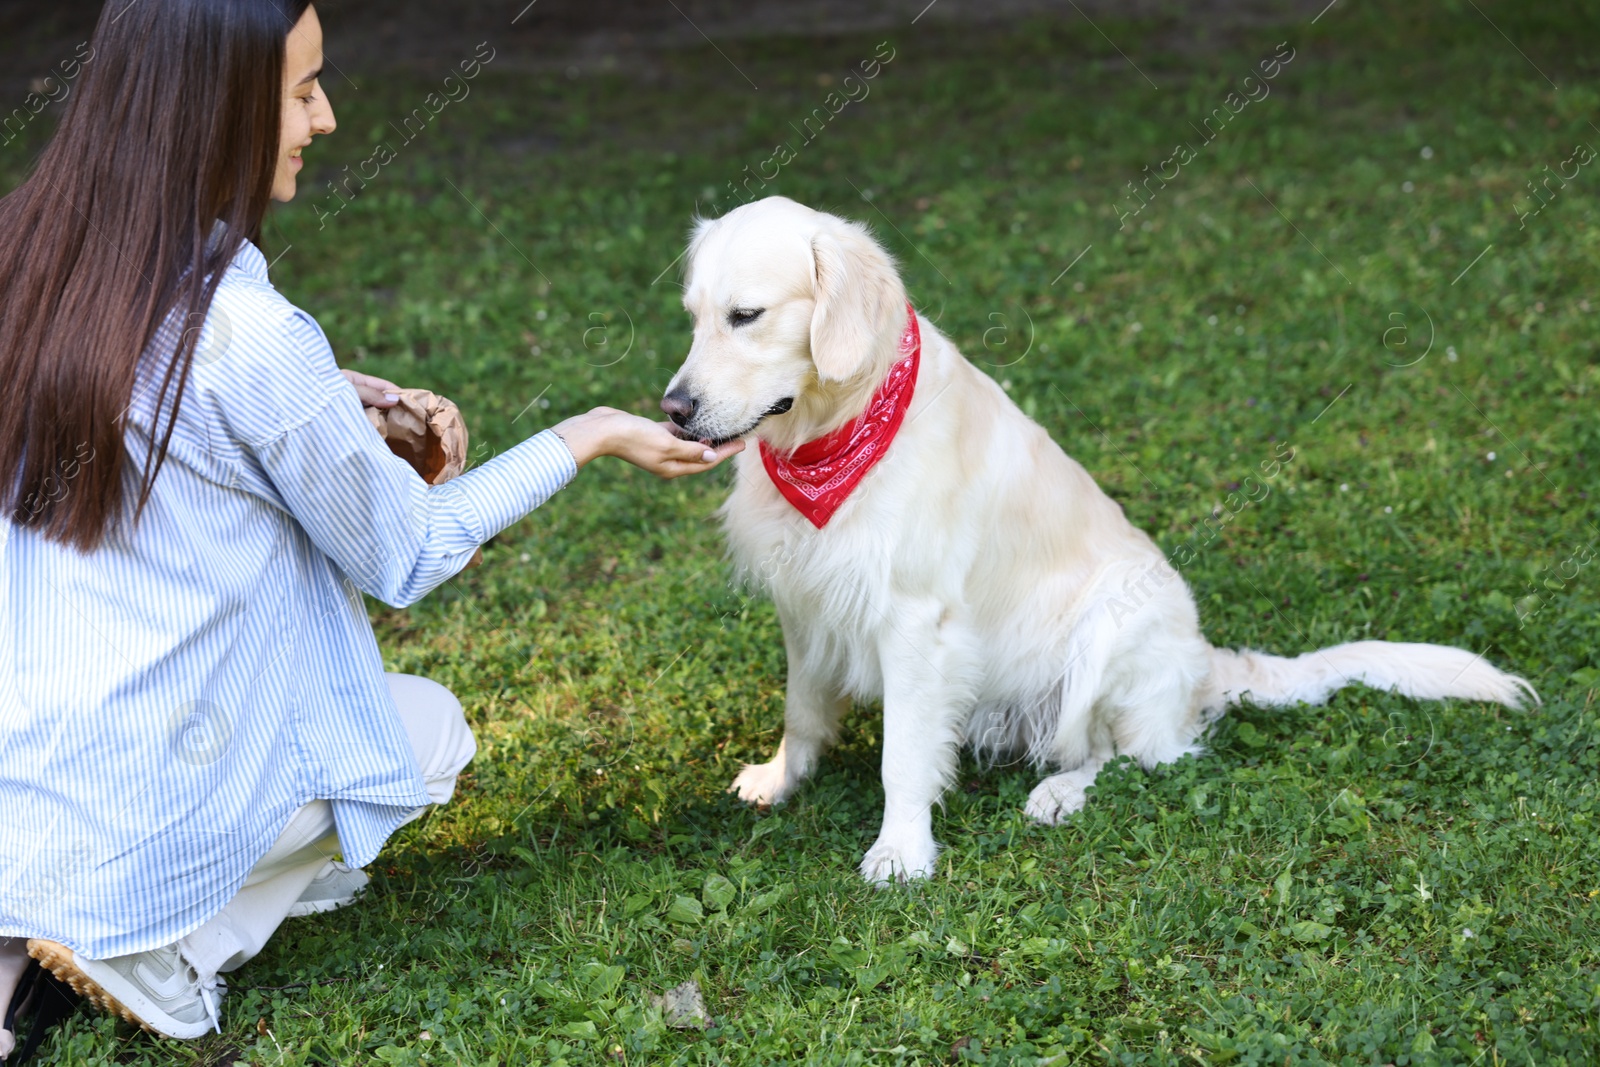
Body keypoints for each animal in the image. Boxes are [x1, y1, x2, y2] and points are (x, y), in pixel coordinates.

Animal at [659, 198, 1523, 883]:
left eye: (747, 315)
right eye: (694, 317)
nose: (672, 409)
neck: (835, 428)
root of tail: (1204, 663)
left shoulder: (914, 619)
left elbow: (902, 752)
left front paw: (901, 851)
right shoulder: (805, 597)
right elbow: (804, 708)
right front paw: (782, 777)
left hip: (1114, 618)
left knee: (1140, 755)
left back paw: (1059, 792)